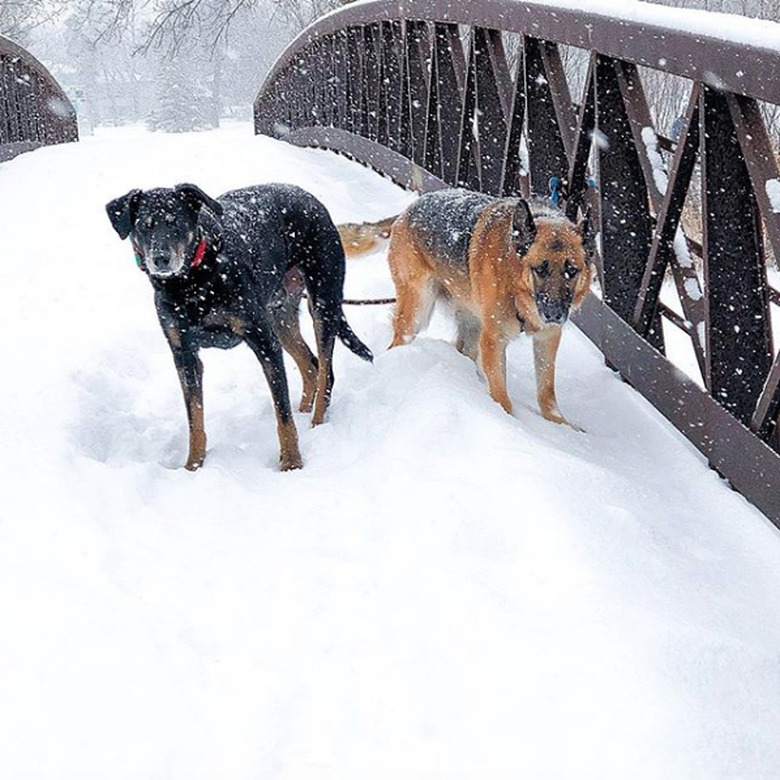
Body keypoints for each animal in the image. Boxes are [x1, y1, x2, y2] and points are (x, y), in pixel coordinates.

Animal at [107, 183, 374, 472]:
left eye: (175, 222)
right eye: (144, 226)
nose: (160, 259)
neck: (193, 283)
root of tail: (309, 198)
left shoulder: (264, 342)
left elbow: (282, 414)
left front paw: (291, 462)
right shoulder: (184, 355)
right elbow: (194, 419)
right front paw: (193, 467)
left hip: (323, 304)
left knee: (325, 371)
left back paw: (316, 423)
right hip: (280, 317)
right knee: (311, 366)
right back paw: (305, 410)